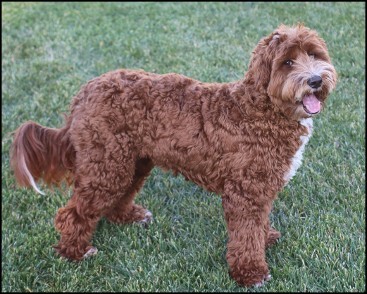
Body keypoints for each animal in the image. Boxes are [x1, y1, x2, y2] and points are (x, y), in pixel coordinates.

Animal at [9, 25, 336, 288]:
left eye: (314, 54)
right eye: (287, 62)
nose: (316, 81)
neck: (263, 108)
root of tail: (84, 93)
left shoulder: (260, 189)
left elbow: (256, 227)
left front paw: (265, 238)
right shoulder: (245, 193)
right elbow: (245, 234)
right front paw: (251, 273)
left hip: (130, 161)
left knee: (117, 197)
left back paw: (128, 217)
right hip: (107, 164)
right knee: (72, 212)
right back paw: (74, 251)